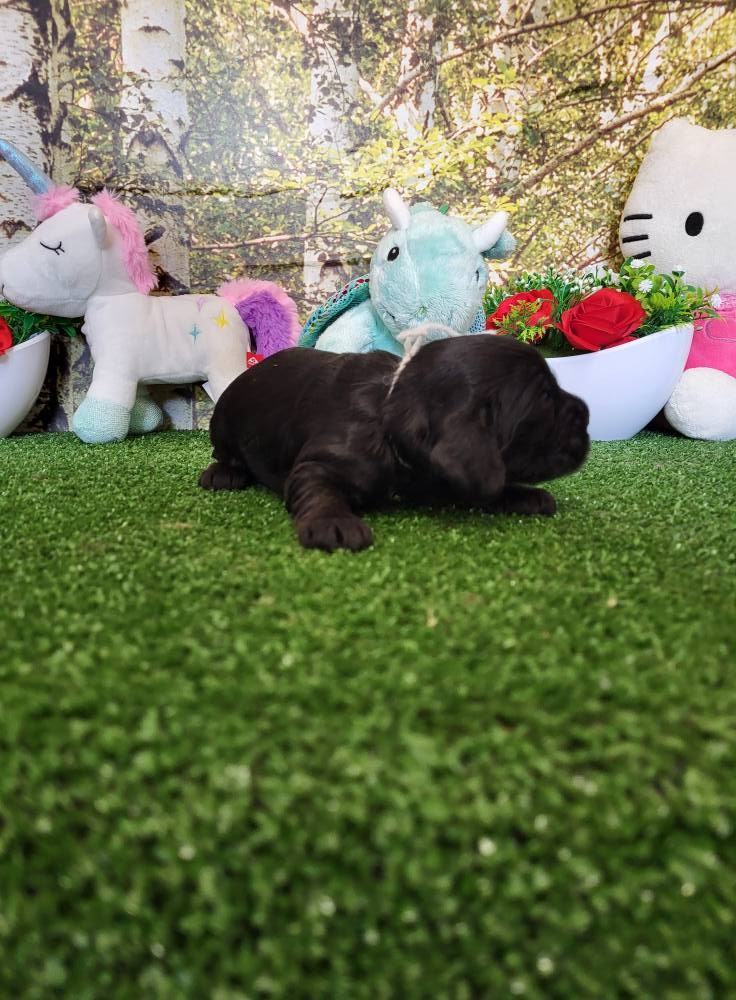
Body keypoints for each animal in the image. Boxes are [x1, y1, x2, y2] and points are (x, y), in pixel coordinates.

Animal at [199, 335, 590, 551]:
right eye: (544, 397)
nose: (586, 413)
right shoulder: (319, 462)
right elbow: (317, 488)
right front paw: (333, 522)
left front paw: (524, 495)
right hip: (224, 423)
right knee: (225, 453)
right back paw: (223, 474)